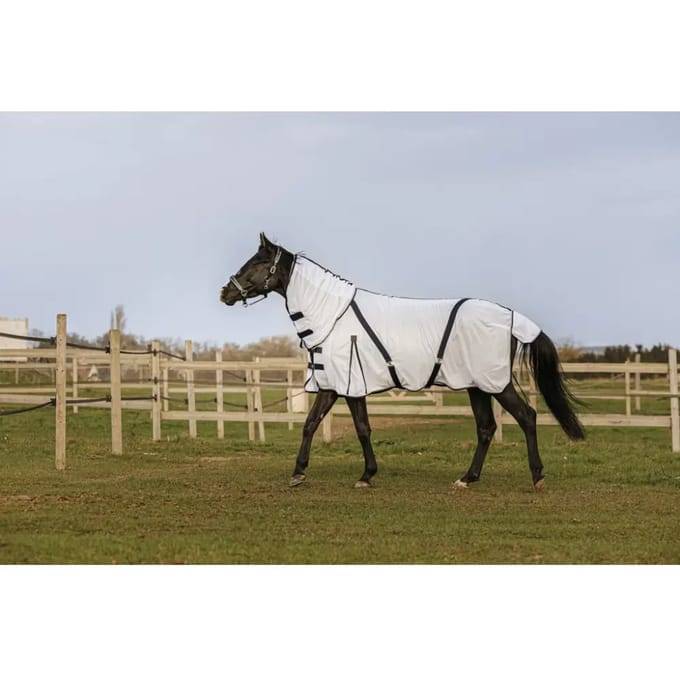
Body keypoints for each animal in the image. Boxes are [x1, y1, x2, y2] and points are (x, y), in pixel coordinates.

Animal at [220, 232, 585, 491]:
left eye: (254, 263)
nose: (225, 292)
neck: (333, 316)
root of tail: (512, 317)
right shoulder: (335, 385)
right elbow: (315, 424)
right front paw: (302, 473)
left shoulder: (348, 384)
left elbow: (358, 428)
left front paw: (363, 475)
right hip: (475, 385)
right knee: (486, 428)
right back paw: (467, 478)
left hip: (494, 383)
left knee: (526, 416)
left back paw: (537, 476)